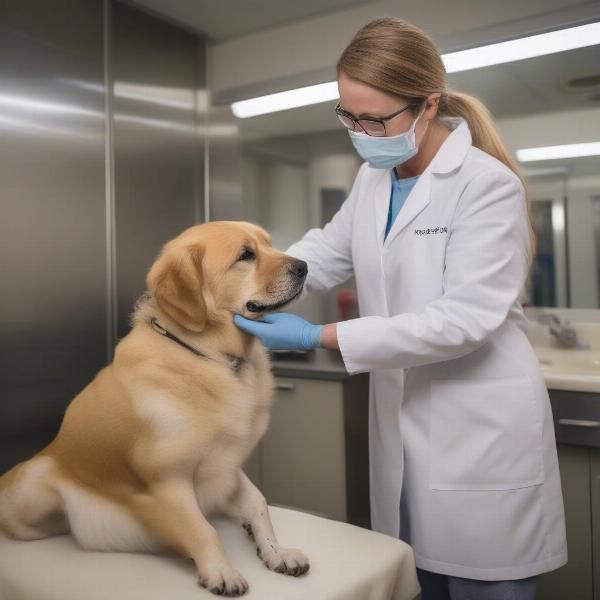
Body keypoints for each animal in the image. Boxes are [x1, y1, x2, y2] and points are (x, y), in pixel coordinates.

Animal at [3, 221, 314, 596]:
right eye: (245, 255)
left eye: (268, 244)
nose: (304, 266)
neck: (211, 358)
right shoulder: (168, 478)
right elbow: (202, 529)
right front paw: (220, 571)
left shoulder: (226, 464)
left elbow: (258, 503)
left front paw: (274, 551)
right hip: (35, 478)